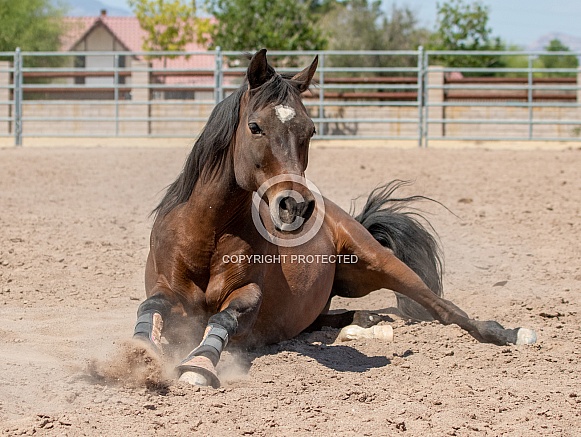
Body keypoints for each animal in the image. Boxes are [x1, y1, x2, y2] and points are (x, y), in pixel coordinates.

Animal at [131, 49, 536, 386]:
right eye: (255, 127)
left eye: (310, 130)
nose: (295, 206)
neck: (206, 233)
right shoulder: (166, 291)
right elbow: (149, 307)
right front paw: (139, 352)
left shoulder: (248, 295)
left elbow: (224, 317)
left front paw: (198, 364)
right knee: (343, 317)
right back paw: (367, 325)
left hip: (379, 262)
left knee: (444, 309)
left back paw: (511, 334)